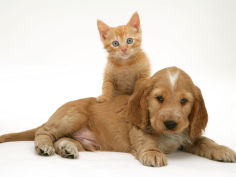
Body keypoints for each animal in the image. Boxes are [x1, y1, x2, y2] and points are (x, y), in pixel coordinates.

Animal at [0, 66, 236, 166]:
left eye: (184, 101)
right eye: (159, 98)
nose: (170, 123)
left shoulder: (187, 132)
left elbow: (206, 140)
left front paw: (223, 150)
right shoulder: (138, 129)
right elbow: (147, 140)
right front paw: (154, 153)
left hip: (84, 140)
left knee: (63, 139)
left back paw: (67, 148)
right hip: (73, 116)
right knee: (44, 131)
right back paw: (44, 145)